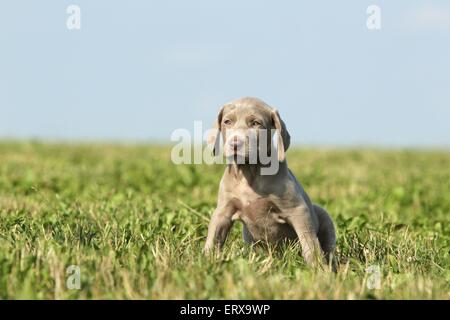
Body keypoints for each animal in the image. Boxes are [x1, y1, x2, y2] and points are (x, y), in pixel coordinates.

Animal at [206, 97, 336, 268]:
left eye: (255, 123)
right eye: (227, 121)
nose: (235, 143)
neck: (249, 172)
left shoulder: (298, 210)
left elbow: (309, 242)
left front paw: (318, 268)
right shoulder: (223, 210)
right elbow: (214, 237)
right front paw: (206, 260)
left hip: (323, 215)